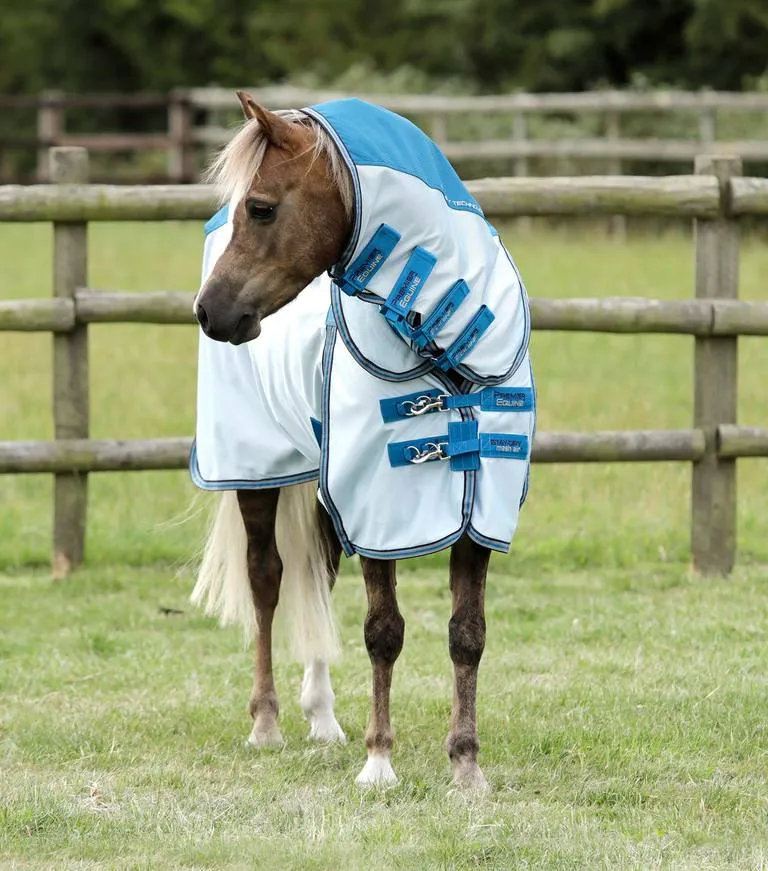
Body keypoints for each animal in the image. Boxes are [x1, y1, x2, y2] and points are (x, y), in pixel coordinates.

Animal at [192, 90, 536, 792]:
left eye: (261, 206)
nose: (209, 311)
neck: (448, 353)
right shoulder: (381, 508)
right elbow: (384, 631)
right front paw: (380, 762)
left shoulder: (479, 512)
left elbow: (468, 633)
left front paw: (466, 765)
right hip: (255, 474)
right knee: (268, 579)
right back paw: (266, 723)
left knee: (315, 580)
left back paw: (323, 719)